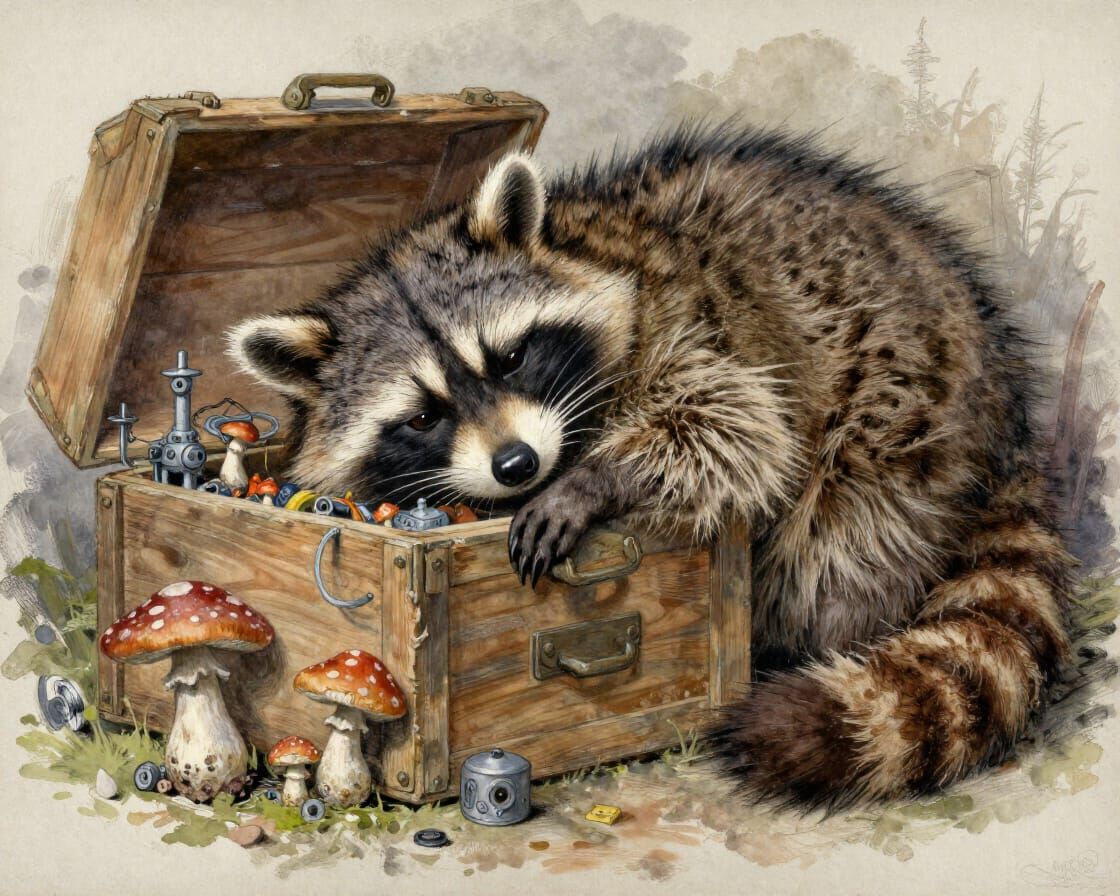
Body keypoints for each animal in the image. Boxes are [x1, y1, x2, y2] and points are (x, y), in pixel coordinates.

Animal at [229, 124, 1073, 808]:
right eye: (425, 415)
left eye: (511, 358)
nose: (516, 465)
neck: (582, 241)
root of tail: (1009, 412)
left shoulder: (688, 326)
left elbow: (736, 428)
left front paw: (593, 481)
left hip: (898, 417)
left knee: (840, 541)